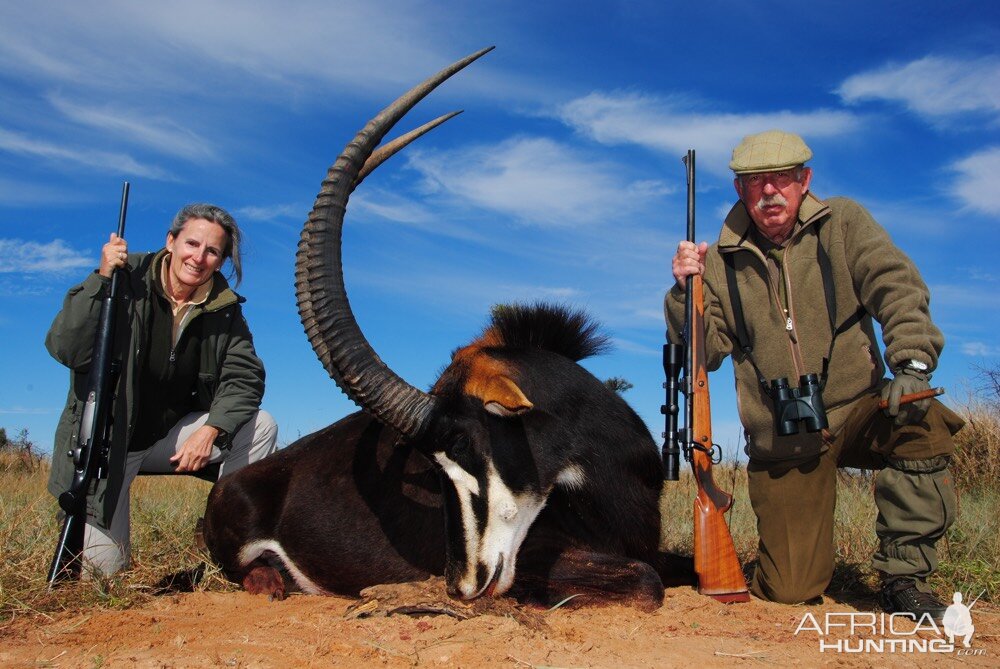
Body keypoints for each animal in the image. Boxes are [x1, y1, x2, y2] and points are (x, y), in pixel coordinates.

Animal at [199, 45, 692, 612]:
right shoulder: (541, 559)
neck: (608, 469)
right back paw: (273, 582)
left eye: (460, 444)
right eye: (431, 467)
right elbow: (645, 579)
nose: (460, 584)